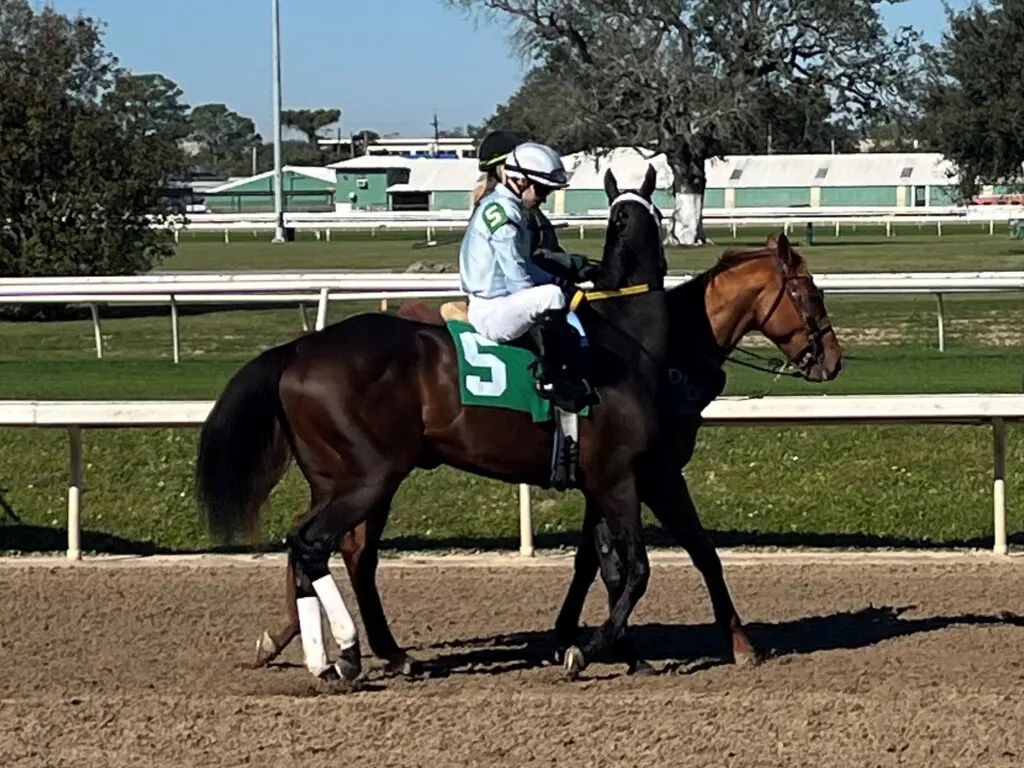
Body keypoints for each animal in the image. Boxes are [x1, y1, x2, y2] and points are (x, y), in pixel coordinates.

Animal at [199, 165, 679, 684]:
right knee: (314, 544)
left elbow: (607, 567)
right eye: (658, 213)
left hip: (337, 480)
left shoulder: (597, 482)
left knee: (341, 550)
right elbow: (637, 570)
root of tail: (298, 349)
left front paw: (624, 654)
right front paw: (585, 652)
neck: (618, 340)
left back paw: (363, 654)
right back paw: (342, 651)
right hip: (370, 477)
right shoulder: (618, 477)